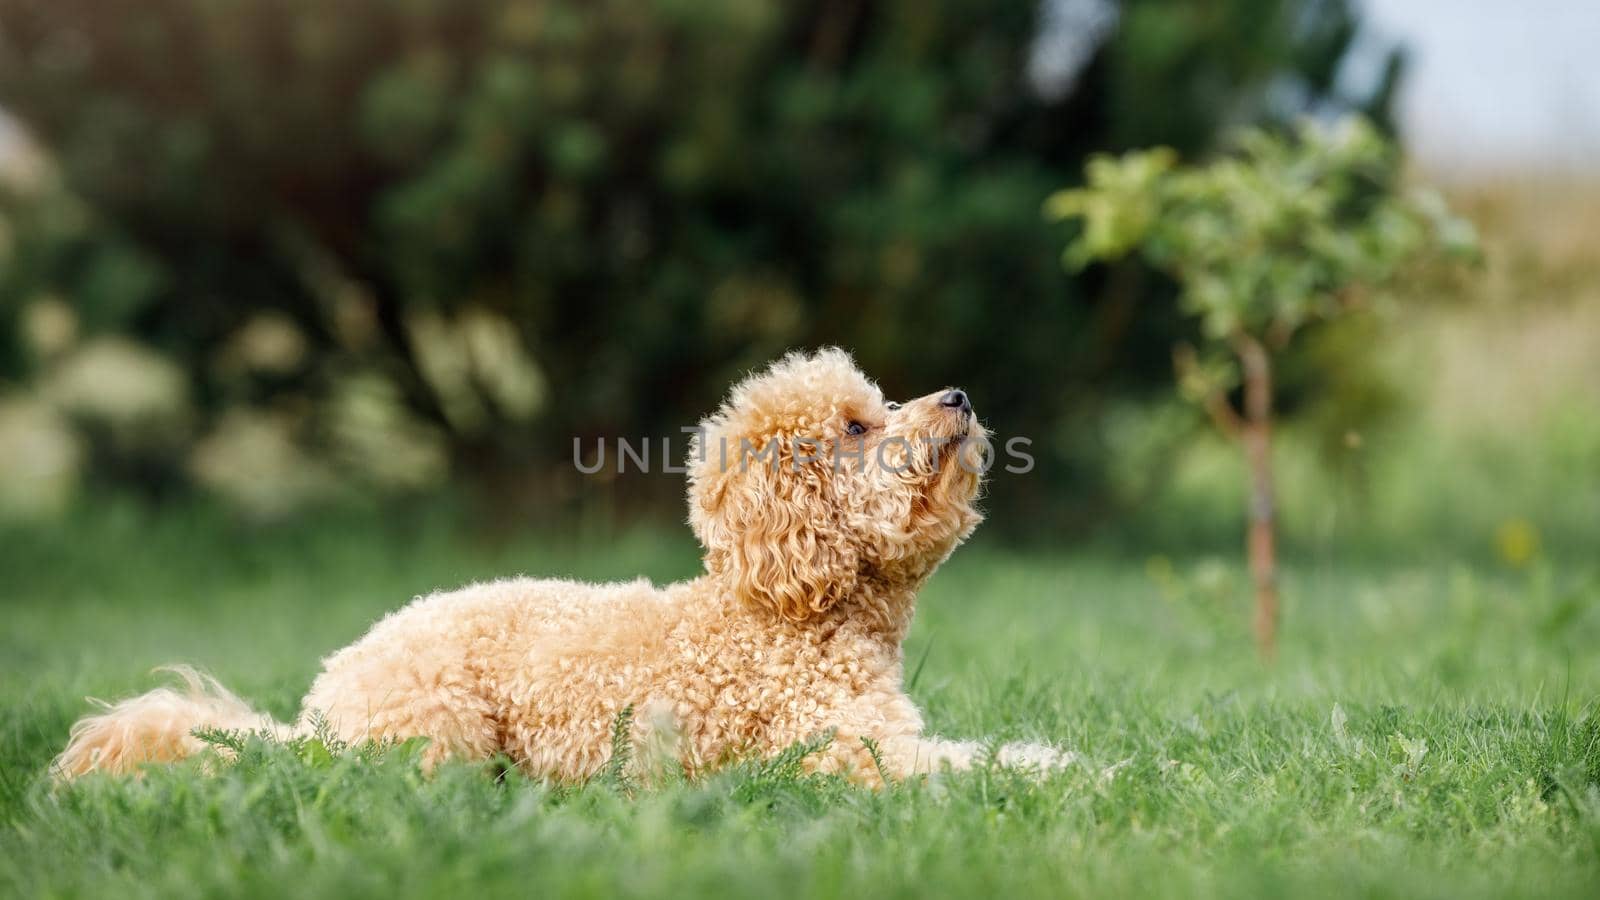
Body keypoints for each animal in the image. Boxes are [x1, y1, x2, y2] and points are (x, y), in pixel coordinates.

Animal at [56, 350, 1068, 784]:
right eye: (859, 426)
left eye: (882, 402)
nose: (958, 394)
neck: (781, 613)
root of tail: (316, 712)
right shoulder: (845, 756)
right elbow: (979, 769)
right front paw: (1079, 777)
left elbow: (989, 752)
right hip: (440, 734)